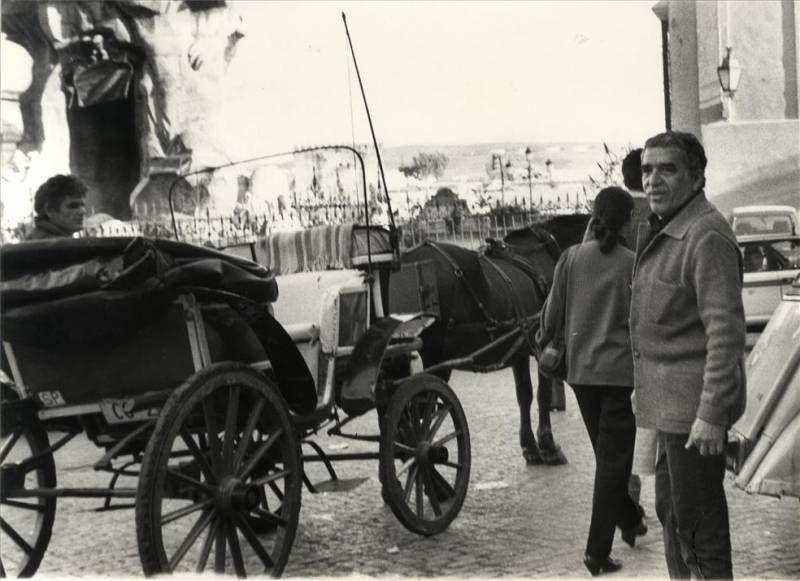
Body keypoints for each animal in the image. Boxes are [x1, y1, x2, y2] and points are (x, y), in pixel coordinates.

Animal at [390, 223, 564, 466]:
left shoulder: (519, 348)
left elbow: (525, 395)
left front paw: (530, 446)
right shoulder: (541, 347)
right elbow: (543, 394)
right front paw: (548, 445)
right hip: (437, 361)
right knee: (422, 413)